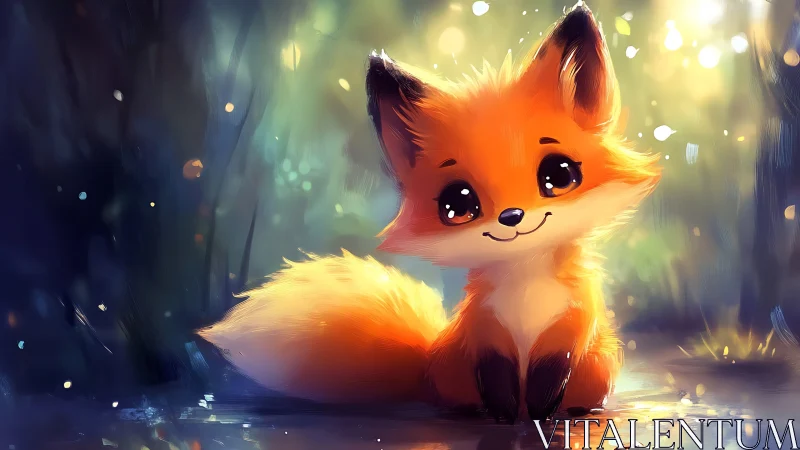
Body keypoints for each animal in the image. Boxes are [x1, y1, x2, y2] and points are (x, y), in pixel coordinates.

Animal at [198, 3, 660, 424]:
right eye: (458, 204)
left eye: (559, 174)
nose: (513, 217)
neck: (525, 284)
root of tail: (426, 365)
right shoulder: (484, 331)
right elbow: (498, 377)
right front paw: (505, 415)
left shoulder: (573, 323)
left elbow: (553, 368)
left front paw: (539, 413)